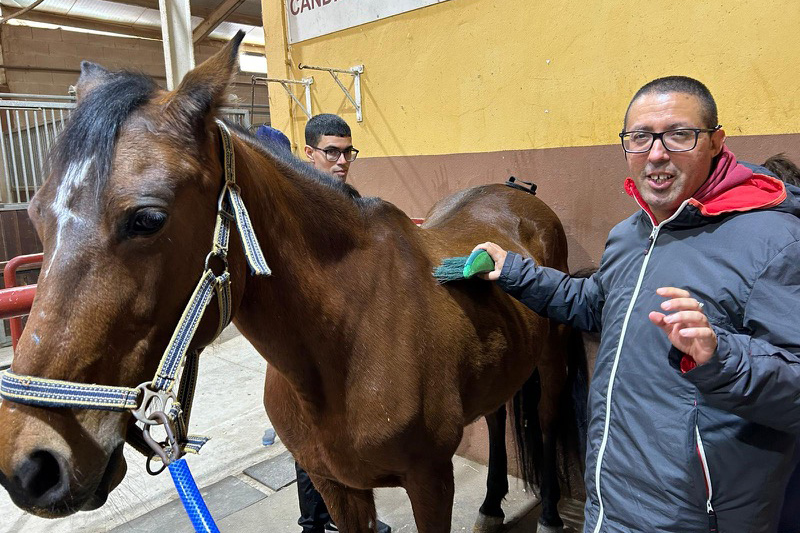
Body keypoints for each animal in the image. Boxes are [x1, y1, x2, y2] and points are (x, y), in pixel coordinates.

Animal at [0, 33, 586, 532]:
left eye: (148, 219)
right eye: (36, 214)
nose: (31, 466)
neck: (349, 340)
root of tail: (518, 193)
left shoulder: (430, 482)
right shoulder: (337, 487)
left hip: (553, 362)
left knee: (547, 424)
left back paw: (550, 515)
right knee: (497, 419)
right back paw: (490, 505)